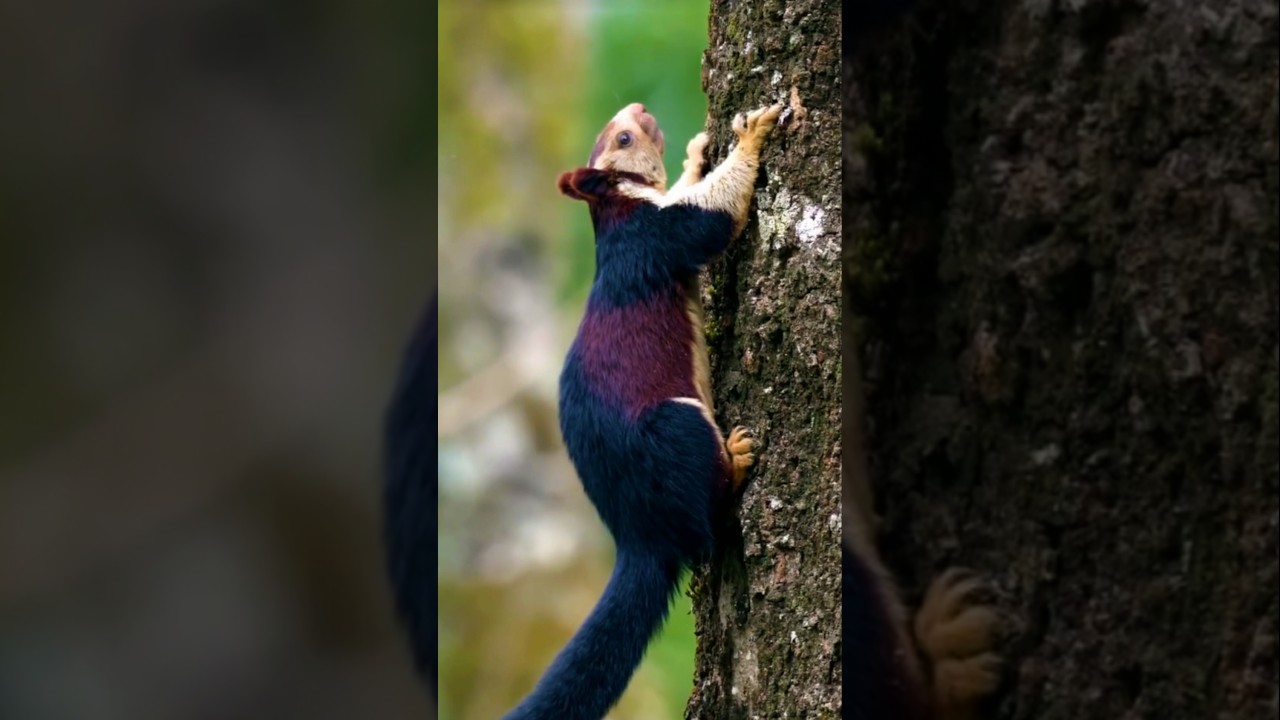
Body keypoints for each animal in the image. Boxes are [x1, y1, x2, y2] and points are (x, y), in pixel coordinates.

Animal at [500, 100, 784, 720]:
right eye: (623, 139)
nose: (640, 109)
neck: (618, 208)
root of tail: (639, 532)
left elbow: (688, 190)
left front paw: (696, 155)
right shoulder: (656, 236)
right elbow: (712, 215)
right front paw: (750, 138)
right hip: (675, 426)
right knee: (708, 520)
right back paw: (736, 458)